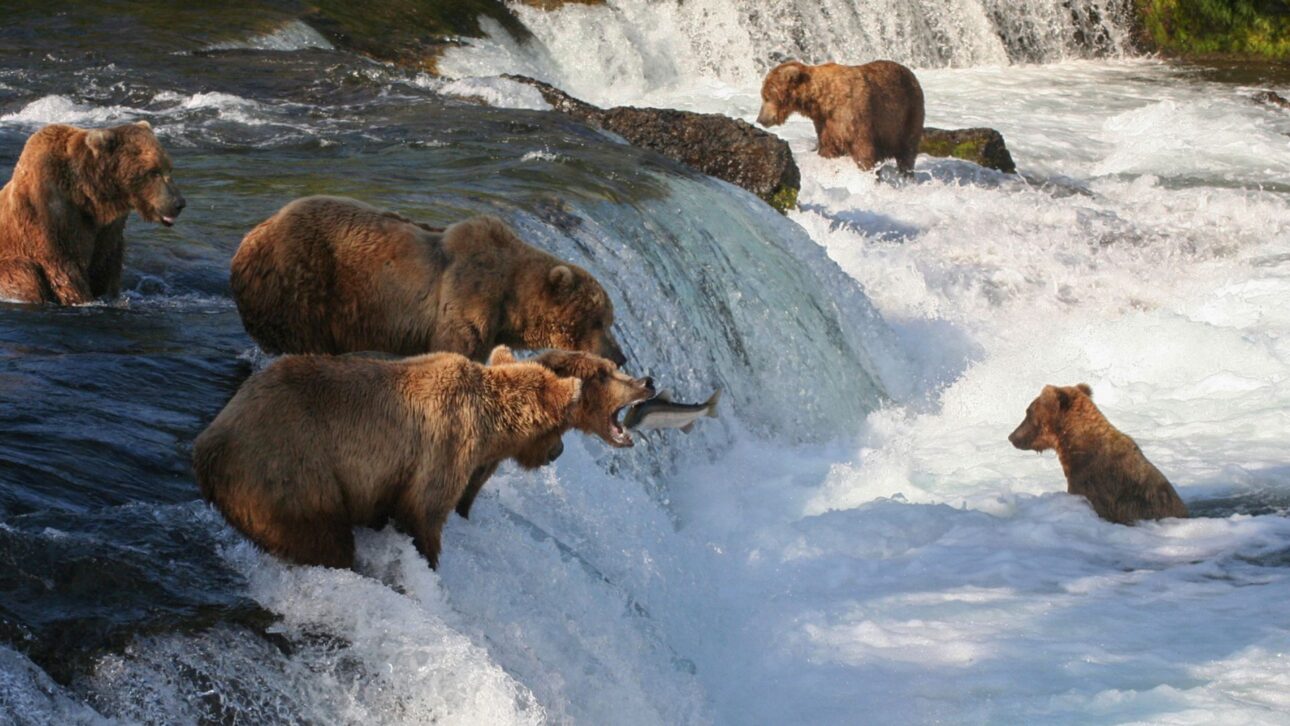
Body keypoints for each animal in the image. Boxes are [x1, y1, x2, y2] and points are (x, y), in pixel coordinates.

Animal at [0, 121, 185, 305]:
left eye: (169, 168)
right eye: (153, 171)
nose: (179, 203)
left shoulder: (108, 226)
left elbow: (106, 263)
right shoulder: (48, 212)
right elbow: (63, 267)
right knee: (25, 274)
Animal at [192, 350, 583, 570]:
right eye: (562, 425)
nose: (559, 451)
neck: (490, 421)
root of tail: (208, 445)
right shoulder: (445, 444)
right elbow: (423, 512)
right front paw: (429, 558)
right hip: (289, 470)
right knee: (322, 537)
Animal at [229, 195, 626, 364]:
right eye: (599, 320)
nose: (620, 356)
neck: (510, 302)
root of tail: (251, 236)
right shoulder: (466, 300)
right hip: (298, 286)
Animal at [756, 60, 925, 173]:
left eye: (766, 96)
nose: (760, 119)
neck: (823, 101)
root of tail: (912, 74)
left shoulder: (853, 116)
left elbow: (863, 150)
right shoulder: (825, 123)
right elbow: (828, 147)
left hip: (908, 112)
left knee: (908, 149)